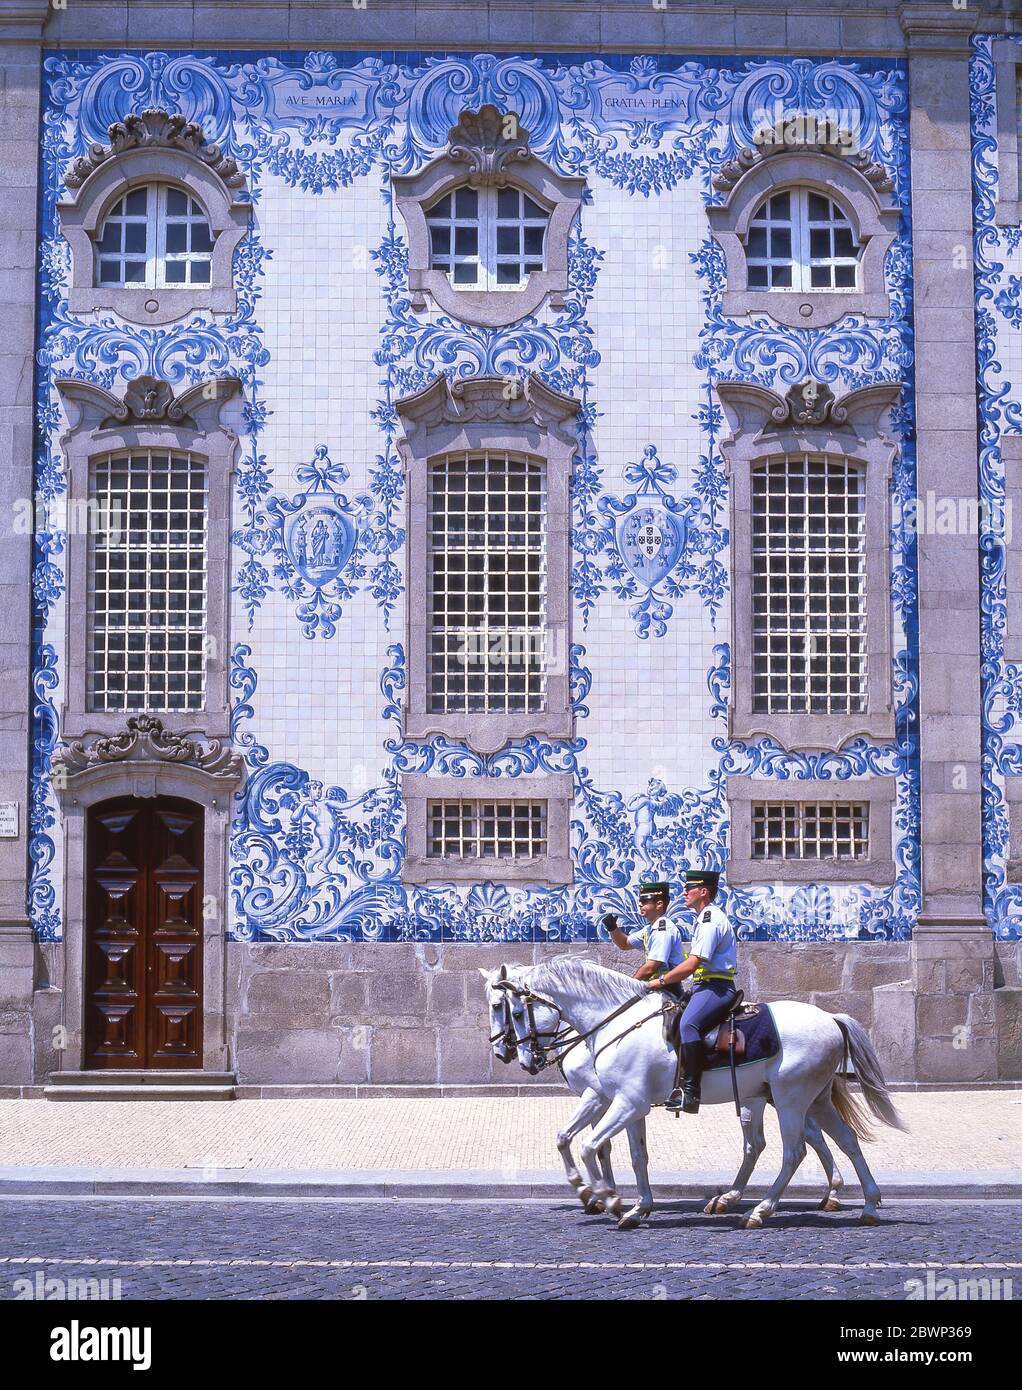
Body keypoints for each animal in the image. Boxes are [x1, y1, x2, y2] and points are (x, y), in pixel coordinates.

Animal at [500, 956, 901, 1228]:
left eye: (516, 1013)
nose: (518, 1057)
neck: (616, 1023)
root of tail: (830, 1018)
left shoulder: (624, 1103)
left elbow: (588, 1146)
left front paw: (604, 1197)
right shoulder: (630, 1106)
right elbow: (633, 1156)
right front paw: (635, 1207)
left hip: (790, 1100)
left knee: (794, 1152)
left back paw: (760, 1210)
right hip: (811, 1100)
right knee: (845, 1141)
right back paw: (868, 1205)